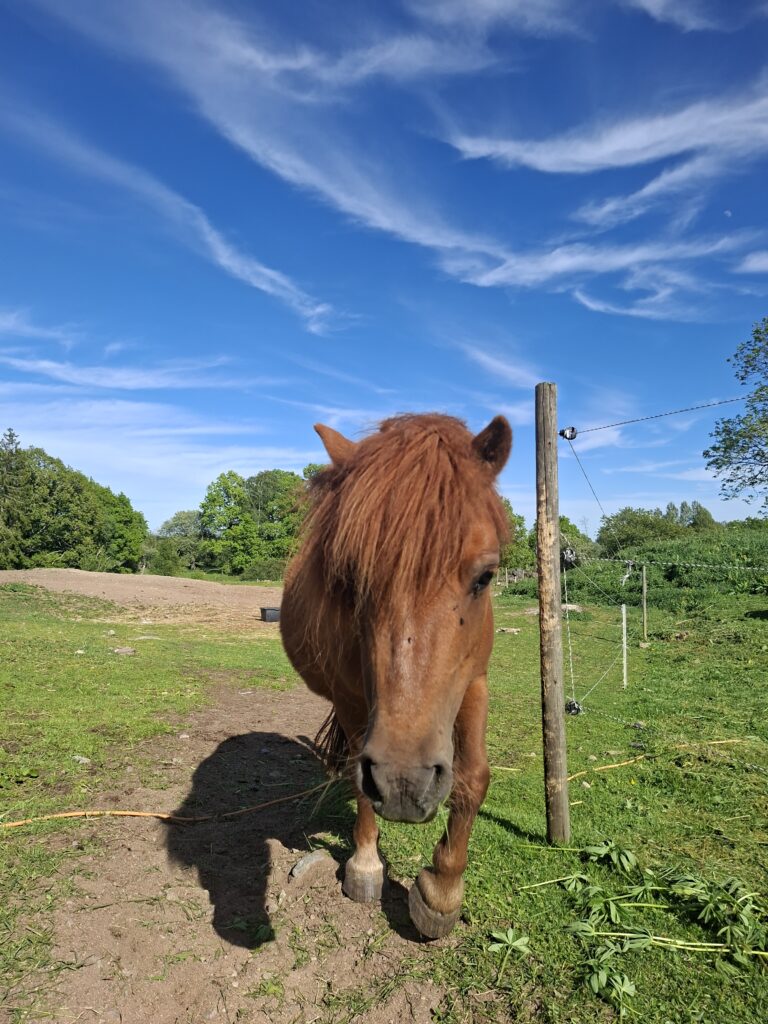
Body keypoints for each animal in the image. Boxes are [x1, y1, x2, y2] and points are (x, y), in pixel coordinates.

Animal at [280, 412, 512, 938]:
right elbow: (358, 776)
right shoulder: (351, 699)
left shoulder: (474, 681)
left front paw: (443, 890)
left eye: (485, 576)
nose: (405, 784)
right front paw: (365, 864)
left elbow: (474, 778)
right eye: (348, 578)